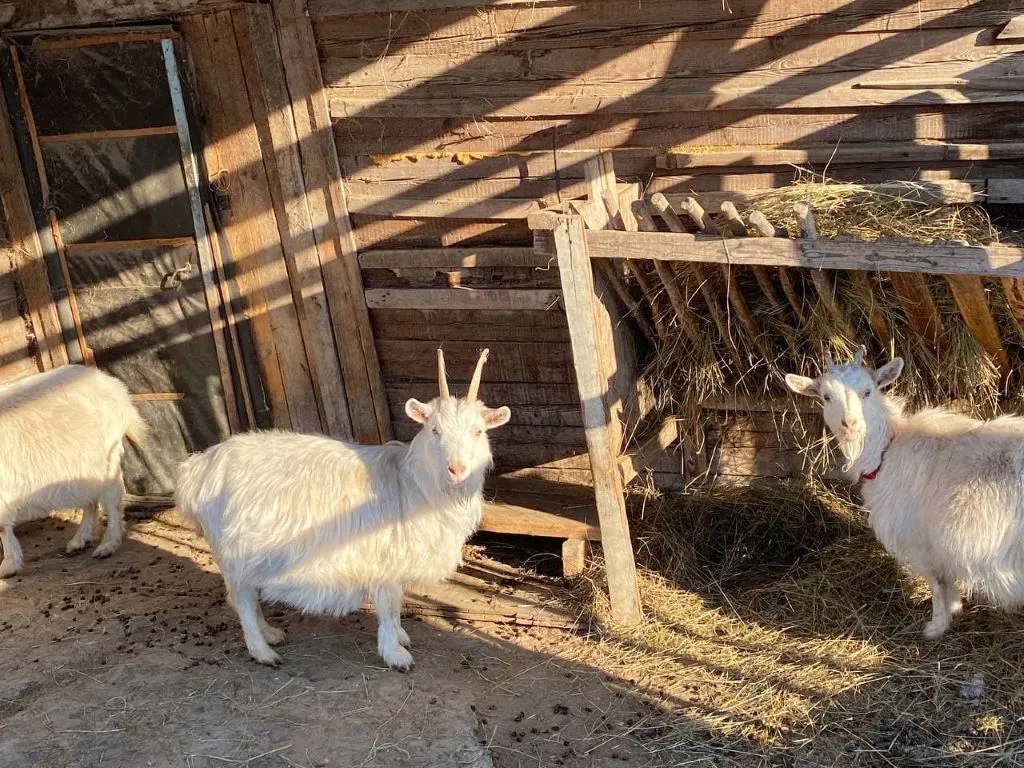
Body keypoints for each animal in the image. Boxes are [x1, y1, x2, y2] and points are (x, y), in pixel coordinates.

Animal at [0, 364, 148, 577]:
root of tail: (113, 385)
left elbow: (3, 528)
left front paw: (8, 566)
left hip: (105, 457)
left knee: (111, 501)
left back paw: (108, 545)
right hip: (83, 466)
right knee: (90, 501)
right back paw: (80, 540)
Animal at [178, 348, 512, 667]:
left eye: (479, 431)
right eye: (434, 430)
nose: (457, 469)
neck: (412, 483)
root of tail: (198, 468)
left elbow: (397, 602)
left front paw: (401, 637)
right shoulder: (384, 560)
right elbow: (388, 605)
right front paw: (395, 653)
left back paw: (271, 634)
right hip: (232, 552)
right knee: (244, 600)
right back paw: (263, 652)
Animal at [786, 348, 1024, 638]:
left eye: (868, 391)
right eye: (826, 397)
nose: (850, 425)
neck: (885, 451)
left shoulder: (922, 541)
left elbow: (937, 583)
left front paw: (935, 627)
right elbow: (947, 582)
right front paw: (954, 609)